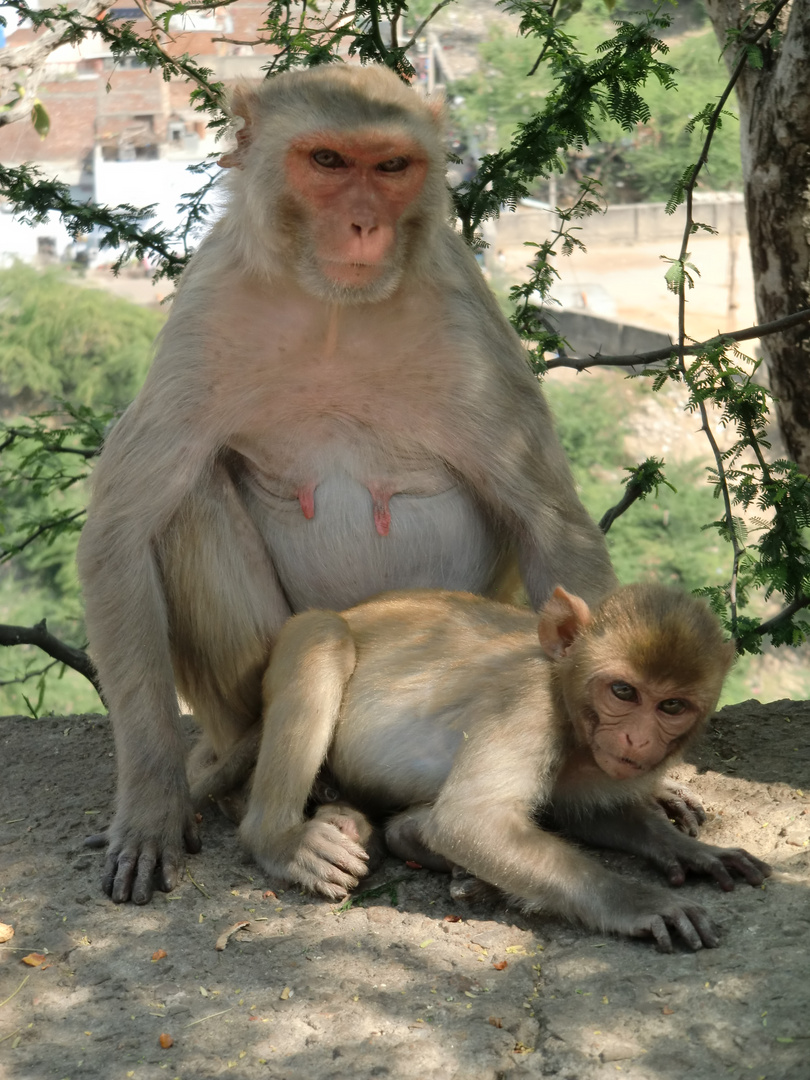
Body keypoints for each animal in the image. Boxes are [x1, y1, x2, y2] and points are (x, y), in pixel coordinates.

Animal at [81, 59, 613, 902]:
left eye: (391, 167)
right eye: (327, 161)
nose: (365, 224)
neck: (335, 310)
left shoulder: (464, 314)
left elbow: (548, 524)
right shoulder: (207, 304)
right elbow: (122, 529)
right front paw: (150, 806)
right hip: (254, 690)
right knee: (186, 498)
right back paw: (272, 788)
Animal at [233, 587, 768, 950]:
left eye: (671, 705)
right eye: (623, 692)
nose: (636, 739)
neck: (564, 693)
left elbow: (589, 814)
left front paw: (690, 849)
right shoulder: (527, 706)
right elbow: (470, 823)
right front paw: (640, 903)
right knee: (325, 637)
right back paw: (285, 841)